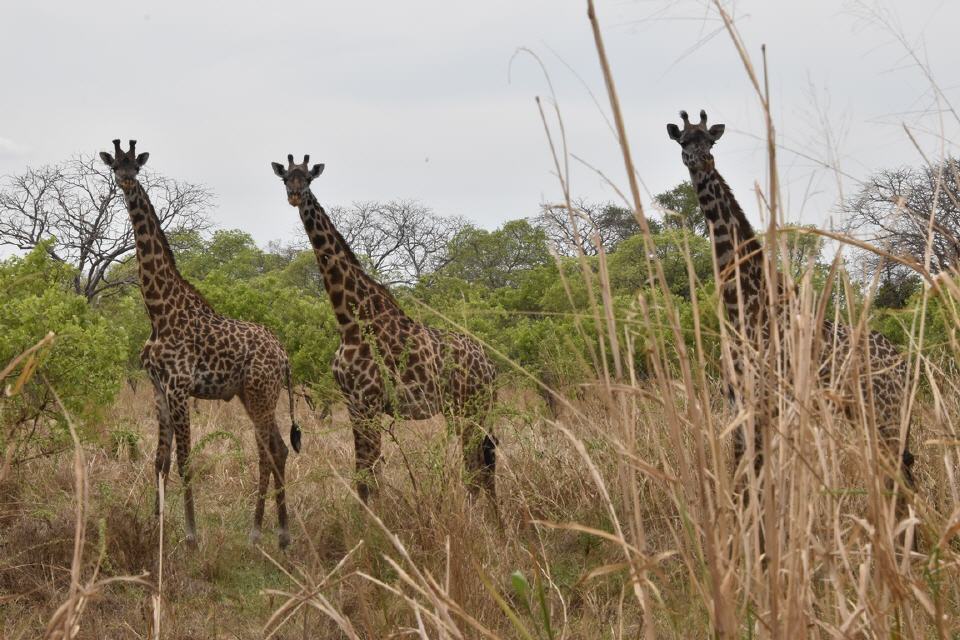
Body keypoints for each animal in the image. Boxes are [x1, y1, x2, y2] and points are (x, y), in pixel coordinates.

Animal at [99, 140, 298, 552]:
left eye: (136, 166)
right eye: (115, 166)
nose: (126, 180)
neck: (158, 311)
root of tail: (284, 355)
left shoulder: (179, 386)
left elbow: (185, 460)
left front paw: (191, 536)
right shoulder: (158, 388)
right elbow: (159, 460)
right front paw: (155, 526)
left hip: (261, 392)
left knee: (272, 450)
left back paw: (271, 534)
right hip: (251, 394)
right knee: (274, 448)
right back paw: (269, 533)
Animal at [268, 154, 496, 500]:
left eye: (307, 179)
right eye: (285, 179)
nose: (294, 195)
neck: (349, 322)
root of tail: (491, 365)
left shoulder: (370, 400)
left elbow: (371, 475)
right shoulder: (353, 402)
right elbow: (364, 474)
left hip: (472, 405)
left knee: (479, 467)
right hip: (464, 408)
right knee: (481, 464)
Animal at [664, 112, 912, 510]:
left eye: (710, 141)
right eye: (684, 140)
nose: (703, 161)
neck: (742, 307)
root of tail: (902, 362)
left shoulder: (766, 403)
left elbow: (757, 485)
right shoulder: (740, 404)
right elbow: (746, 483)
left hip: (886, 411)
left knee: (902, 476)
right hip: (864, 412)